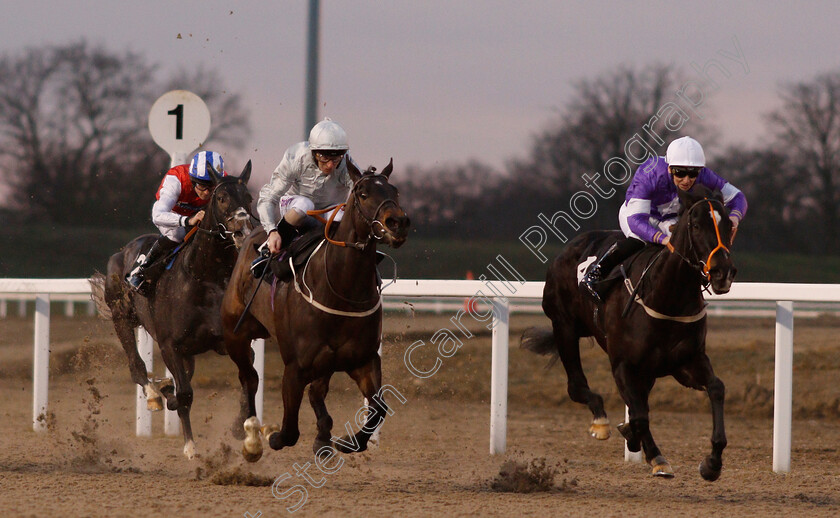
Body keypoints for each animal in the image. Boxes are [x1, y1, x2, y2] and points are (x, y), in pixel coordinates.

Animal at [89, 161, 253, 460]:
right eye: (222, 197)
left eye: (248, 197)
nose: (242, 228)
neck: (205, 278)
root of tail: (123, 251)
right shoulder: (170, 346)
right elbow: (185, 394)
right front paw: (190, 446)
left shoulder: (230, 341)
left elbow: (249, 381)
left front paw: (239, 428)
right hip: (122, 317)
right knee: (137, 368)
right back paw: (155, 394)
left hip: (187, 353)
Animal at [220, 160, 410, 466]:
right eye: (363, 193)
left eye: (395, 191)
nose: (398, 223)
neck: (342, 289)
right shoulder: (295, 367)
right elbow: (288, 432)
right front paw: (270, 436)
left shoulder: (363, 359)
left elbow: (379, 407)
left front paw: (347, 442)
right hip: (234, 334)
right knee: (249, 378)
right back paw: (248, 433)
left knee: (316, 391)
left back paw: (323, 438)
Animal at [520, 187, 740, 484]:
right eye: (696, 226)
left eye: (728, 225)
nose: (722, 272)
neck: (665, 297)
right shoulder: (623, 364)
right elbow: (639, 416)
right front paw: (653, 454)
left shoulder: (686, 362)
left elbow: (716, 388)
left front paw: (712, 463)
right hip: (564, 326)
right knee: (577, 387)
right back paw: (602, 422)